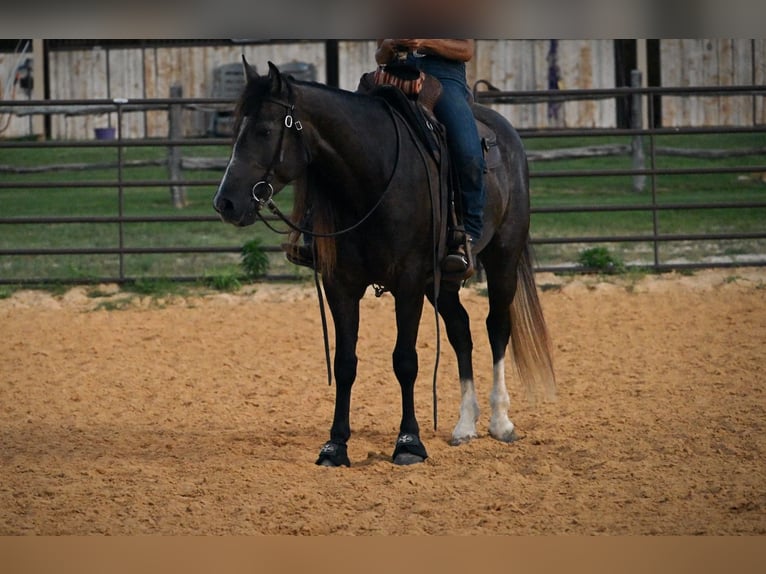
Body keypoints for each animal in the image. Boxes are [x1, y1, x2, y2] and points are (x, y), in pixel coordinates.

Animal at [213, 59, 555, 467]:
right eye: (236, 130)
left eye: (264, 130)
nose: (225, 203)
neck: (372, 180)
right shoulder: (341, 286)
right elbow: (345, 364)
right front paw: (335, 446)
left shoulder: (407, 283)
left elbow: (405, 361)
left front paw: (409, 443)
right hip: (442, 283)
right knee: (461, 332)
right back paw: (464, 426)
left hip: (503, 257)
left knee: (497, 327)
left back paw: (500, 421)